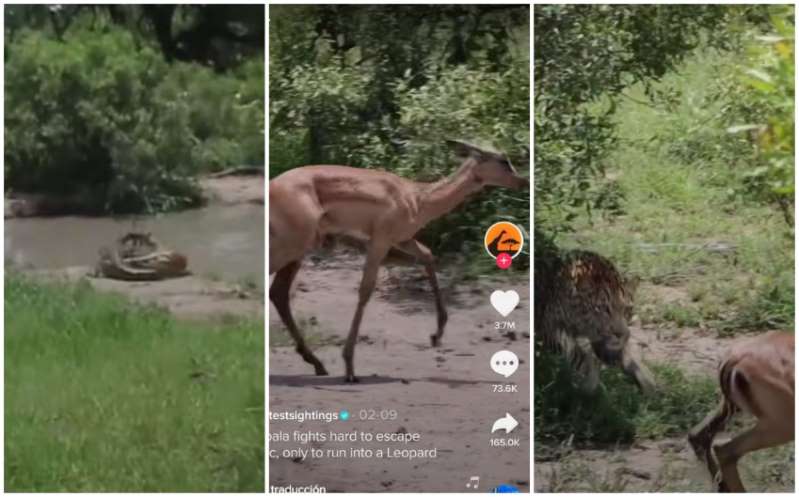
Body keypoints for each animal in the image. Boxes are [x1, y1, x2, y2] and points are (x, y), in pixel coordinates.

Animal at [272, 141, 528, 382]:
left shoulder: (402, 239)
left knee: (278, 292)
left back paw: (317, 364)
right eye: (503, 160)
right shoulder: (381, 240)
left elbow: (428, 255)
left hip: (299, 250)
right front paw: (349, 367)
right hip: (292, 246)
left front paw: (436, 335)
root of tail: (273, 187)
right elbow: (365, 290)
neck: (418, 198)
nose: (523, 182)